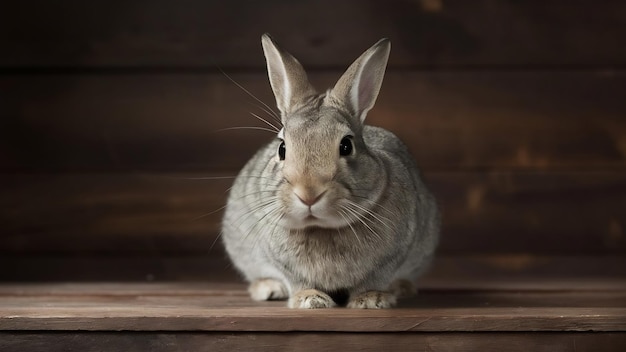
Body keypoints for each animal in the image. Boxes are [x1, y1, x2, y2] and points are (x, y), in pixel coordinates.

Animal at [221, 33, 438, 308]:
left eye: (346, 145)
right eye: (282, 148)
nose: (308, 194)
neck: (320, 227)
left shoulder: (392, 256)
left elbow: (375, 278)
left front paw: (370, 300)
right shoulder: (283, 263)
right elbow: (297, 280)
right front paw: (310, 299)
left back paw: (401, 288)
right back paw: (269, 289)